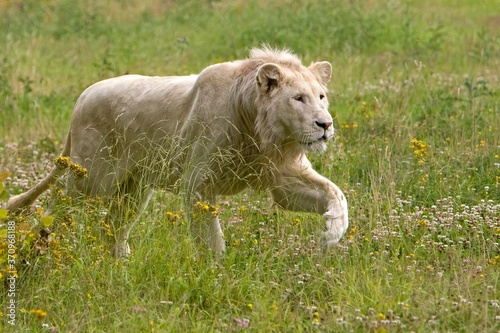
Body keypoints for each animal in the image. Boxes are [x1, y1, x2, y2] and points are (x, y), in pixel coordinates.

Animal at [8, 46, 352, 255]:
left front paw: (331, 234)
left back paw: (120, 268)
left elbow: (337, 194)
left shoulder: (283, 177)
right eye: (298, 98)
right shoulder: (198, 183)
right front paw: (216, 273)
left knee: (113, 228)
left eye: (321, 96)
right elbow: (210, 237)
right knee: (55, 207)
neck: (263, 134)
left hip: (133, 190)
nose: (325, 124)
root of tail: (82, 97)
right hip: (91, 178)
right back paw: (36, 251)